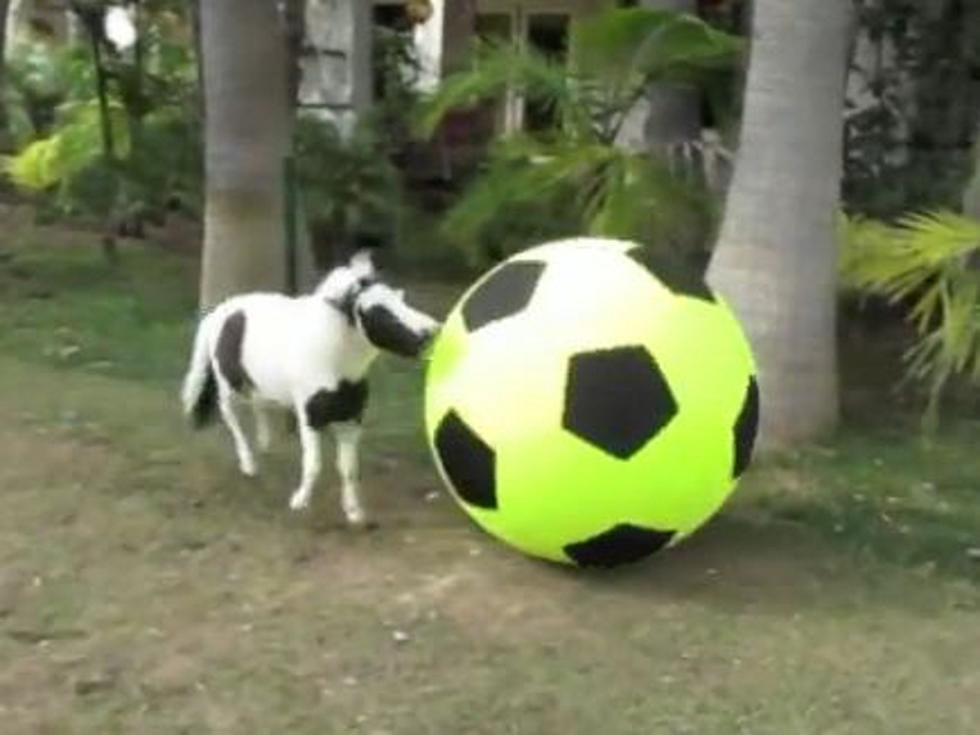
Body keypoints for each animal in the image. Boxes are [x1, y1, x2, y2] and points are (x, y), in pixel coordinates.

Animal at [181, 250, 440, 528]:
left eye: (400, 298)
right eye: (379, 310)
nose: (432, 332)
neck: (331, 359)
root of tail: (220, 312)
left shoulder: (351, 420)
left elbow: (348, 468)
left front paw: (354, 513)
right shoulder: (310, 418)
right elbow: (314, 464)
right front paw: (299, 502)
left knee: (258, 406)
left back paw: (264, 444)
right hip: (230, 387)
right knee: (231, 417)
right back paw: (249, 464)